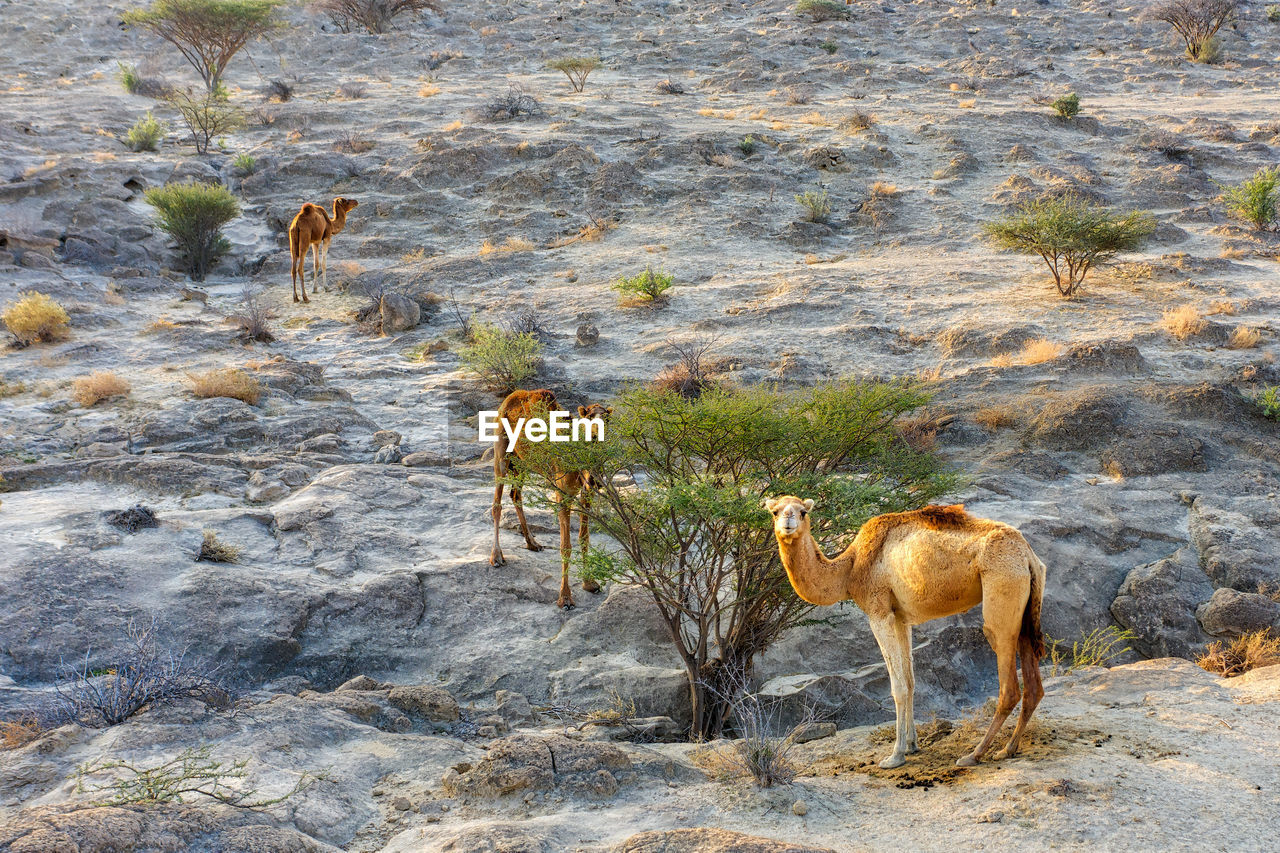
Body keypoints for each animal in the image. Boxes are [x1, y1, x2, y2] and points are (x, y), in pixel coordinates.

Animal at [486, 389, 611, 607]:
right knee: (497, 502)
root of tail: (509, 398)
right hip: (502, 448)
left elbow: (584, 537)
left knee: (516, 494)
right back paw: (497, 556)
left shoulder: (586, 492)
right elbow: (565, 545)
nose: (596, 434)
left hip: (522, 462)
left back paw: (532, 543)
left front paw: (589, 583)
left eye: (608, 419)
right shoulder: (562, 494)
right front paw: (565, 598)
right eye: (588, 417)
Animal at [762, 494, 1044, 768]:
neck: (850, 568)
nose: (787, 521)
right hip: (1026, 610)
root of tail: (1029, 556)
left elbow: (897, 687)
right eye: (775, 511)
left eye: (803, 511)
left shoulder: (879, 612)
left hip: (1002, 588)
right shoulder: (901, 617)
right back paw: (1007, 749)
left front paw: (895, 755)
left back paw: (974, 754)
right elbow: (910, 681)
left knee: (1008, 684)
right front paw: (911, 744)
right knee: (1033, 686)